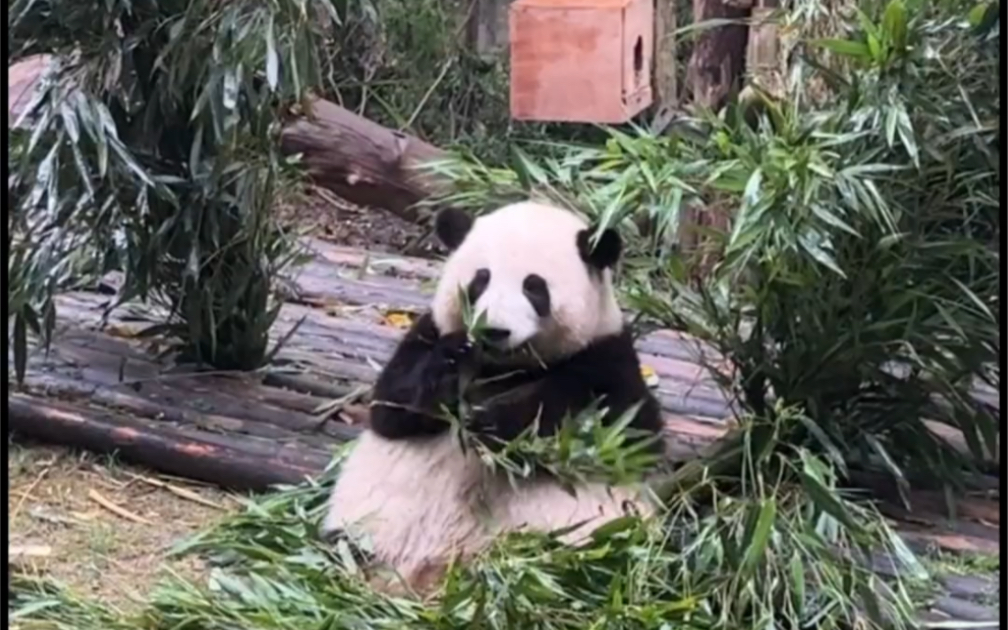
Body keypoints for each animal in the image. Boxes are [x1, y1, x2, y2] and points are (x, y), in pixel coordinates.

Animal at [324, 200, 669, 592]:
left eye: (534, 287)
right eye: (481, 279)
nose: (494, 330)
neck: (506, 367)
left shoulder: (608, 358)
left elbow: (616, 432)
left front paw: (491, 424)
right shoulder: (428, 332)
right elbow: (391, 405)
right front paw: (453, 365)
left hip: (578, 548)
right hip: (364, 530)